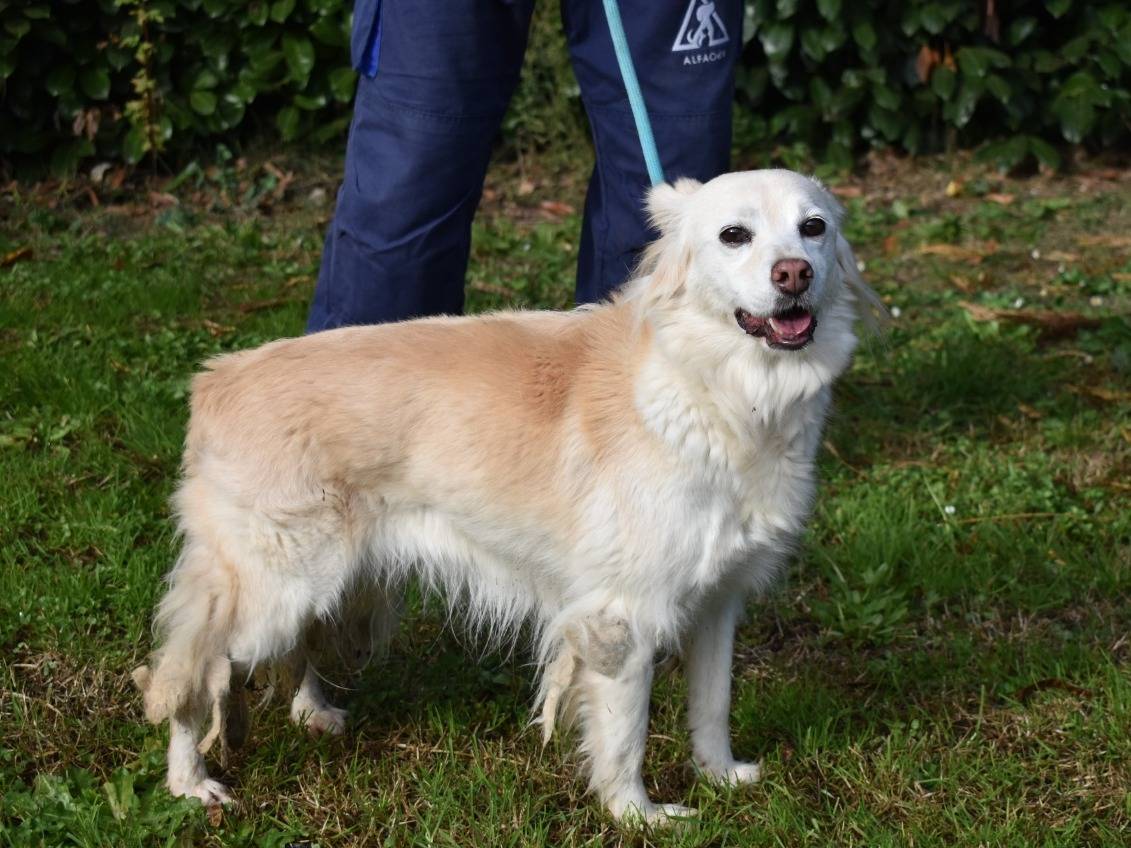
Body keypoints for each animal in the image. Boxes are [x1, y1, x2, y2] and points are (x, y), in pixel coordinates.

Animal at [132, 169, 877, 827]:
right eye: (733, 235)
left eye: (812, 228)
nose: (794, 275)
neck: (711, 386)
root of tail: (217, 378)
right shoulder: (621, 619)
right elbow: (624, 736)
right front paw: (636, 814)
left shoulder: (719, 600)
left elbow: (712, 704)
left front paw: (720, 775)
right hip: (273, 591)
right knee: (188, 673)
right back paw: (189, 782)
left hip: (326, 582)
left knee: (289, 649)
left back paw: (310, 711)